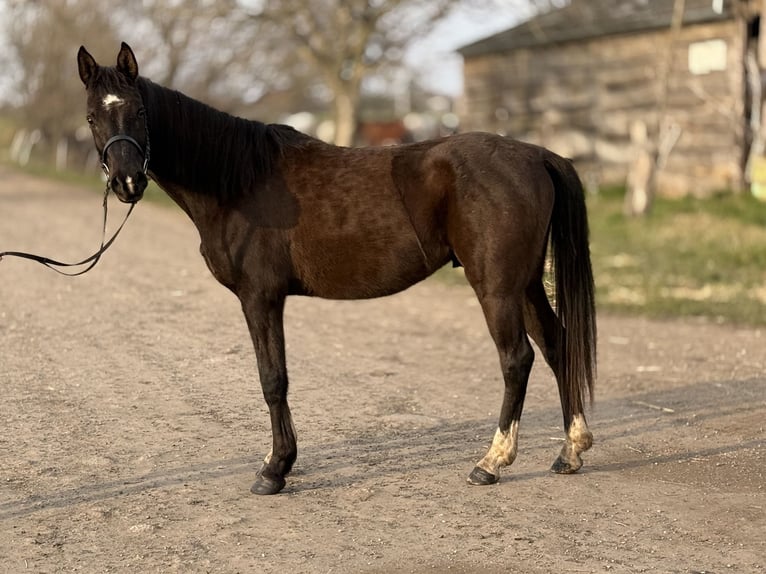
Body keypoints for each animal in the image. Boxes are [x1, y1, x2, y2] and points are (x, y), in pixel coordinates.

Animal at [76, 43, 596, 495]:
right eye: (92, 117)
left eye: (140, 112)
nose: (127, 182)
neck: (239, 180)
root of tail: (536, 155)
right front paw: (280, 462)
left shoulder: (260, 297)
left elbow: (273, 378)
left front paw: (275, 470)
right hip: (525, 282)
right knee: (556, 345)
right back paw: (570, 451)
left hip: (497, 286)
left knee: (517, 359)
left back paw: (491, 462)